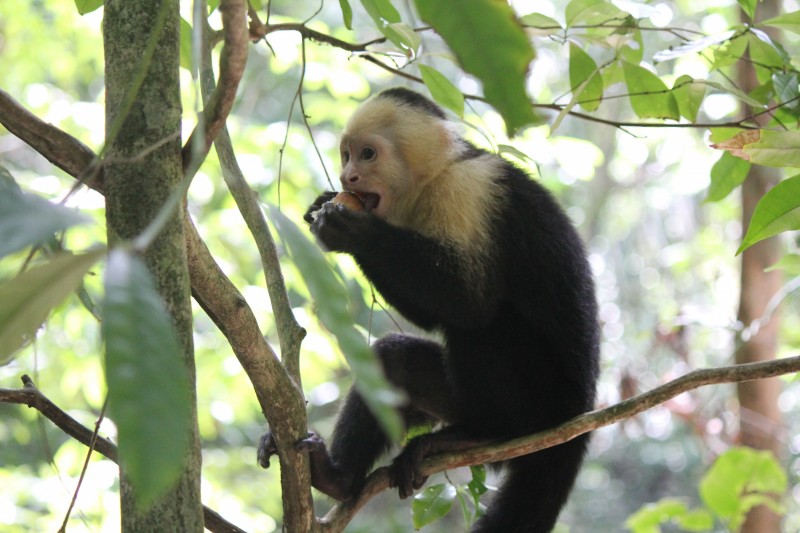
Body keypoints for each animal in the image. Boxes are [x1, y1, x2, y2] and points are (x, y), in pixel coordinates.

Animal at [259, 87, 600, 532]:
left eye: (367, 154)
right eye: (346, 155)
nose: (348, 178)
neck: (434, 177)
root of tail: (579, 415)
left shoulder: (468, 190)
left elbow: (468, 302)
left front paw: (354, 231)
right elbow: (428, 316)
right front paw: (325, 205)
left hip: (543, 402)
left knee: (489, 324)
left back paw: (488, 433)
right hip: (458, 400)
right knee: (394, 360)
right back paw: (335, 477)